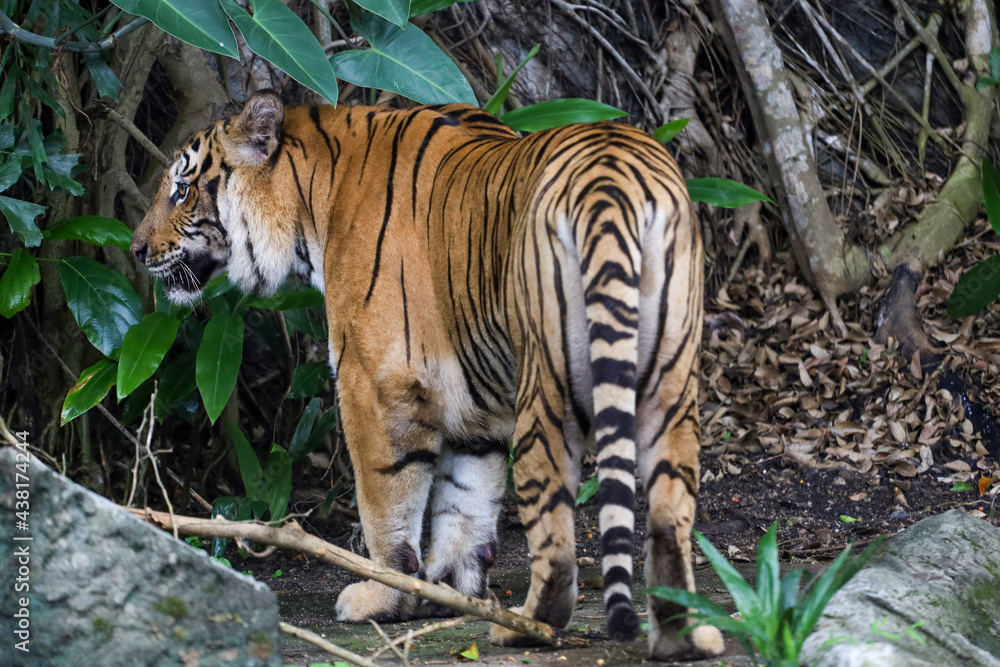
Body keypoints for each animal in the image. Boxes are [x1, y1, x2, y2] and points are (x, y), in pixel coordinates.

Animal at [131, 90, 723, 661]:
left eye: (180, 190)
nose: (136, 250)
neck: (313, 201)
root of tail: (614, 172)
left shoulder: (372, 382)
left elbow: (385, 503)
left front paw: (384, 595)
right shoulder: (477, 404)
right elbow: (467, 498)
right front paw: (448, 591)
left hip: (548, 384)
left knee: (555, 531)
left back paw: (526, 628)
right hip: (670, 382)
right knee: (669, 517)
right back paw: (682, 639)